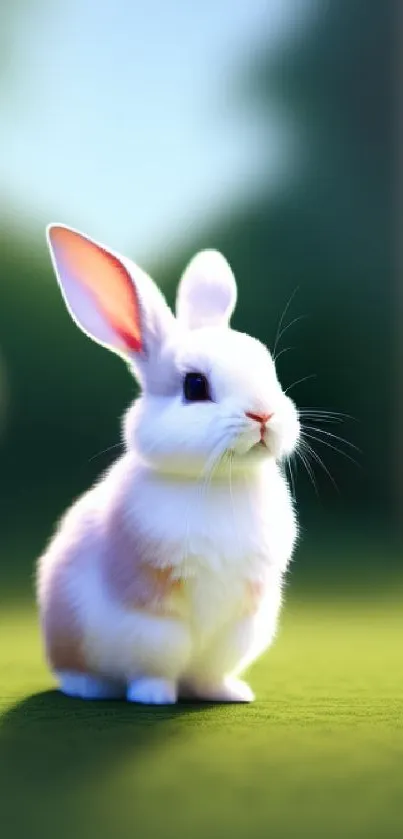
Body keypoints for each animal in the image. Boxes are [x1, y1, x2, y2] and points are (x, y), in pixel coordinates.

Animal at [37, 226, 300, 704]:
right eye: (195, 386)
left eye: (270, 370)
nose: (264, 415)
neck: (217, 482)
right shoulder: (151, 611)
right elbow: (157, 659)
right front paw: (154, 697)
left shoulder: (244, 614)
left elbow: (212, 670)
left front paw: (229, 694)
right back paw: (90, 687)